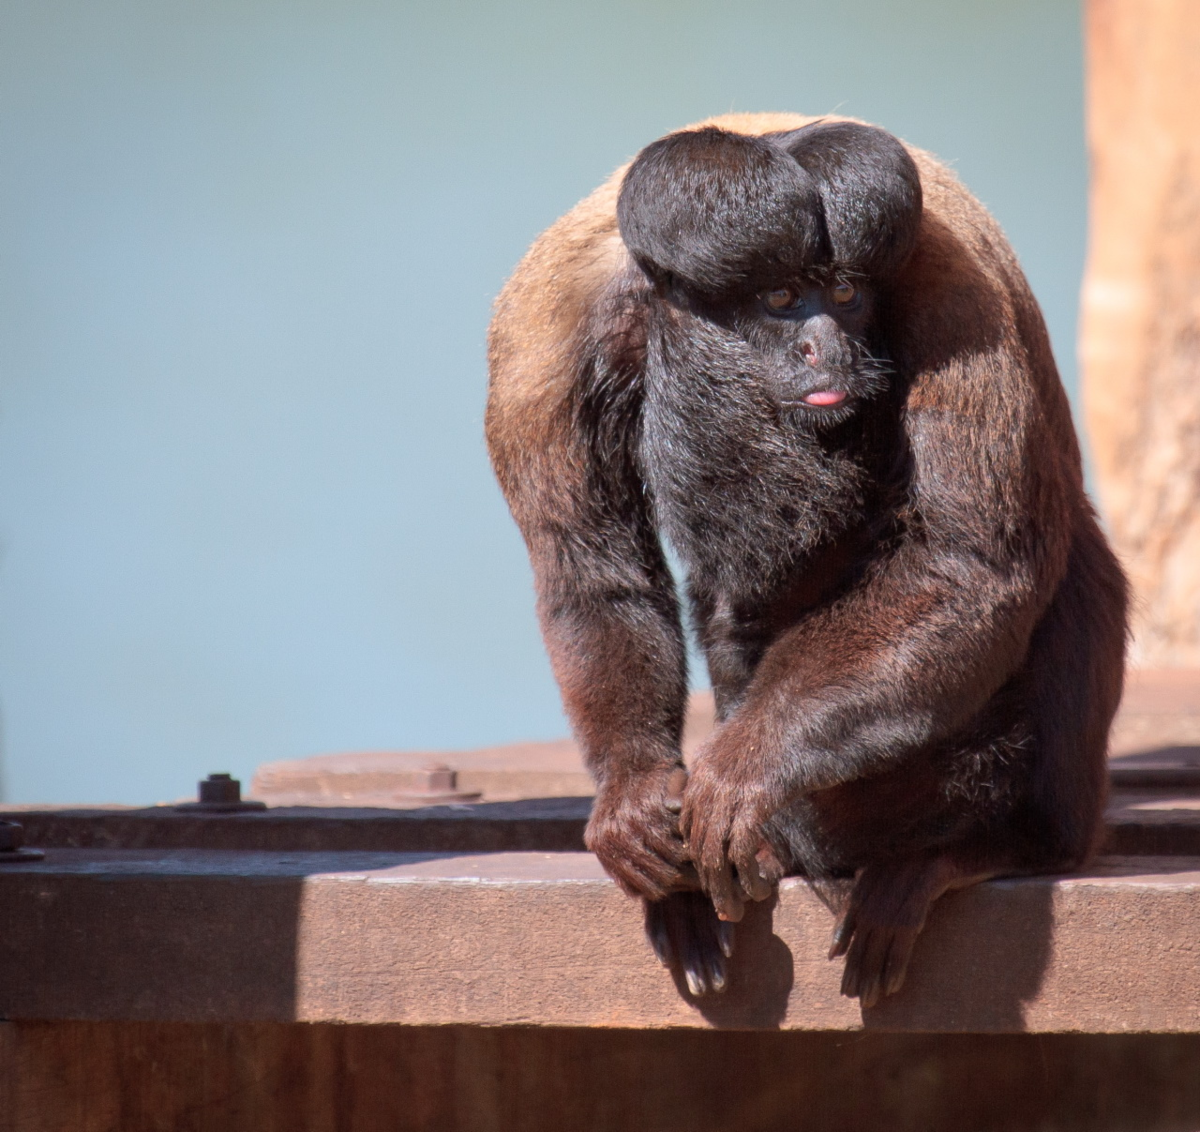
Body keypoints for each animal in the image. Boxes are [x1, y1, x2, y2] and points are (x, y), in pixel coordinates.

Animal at [482, 117, 1128, 1008]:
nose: (828, 345)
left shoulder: (953, 287)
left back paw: (978, 848)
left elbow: (968, 567)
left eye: (848, 293)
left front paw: (743, 771)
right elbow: (595, 580)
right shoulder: (543, 341)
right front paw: (637, 796)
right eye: (783, 300)